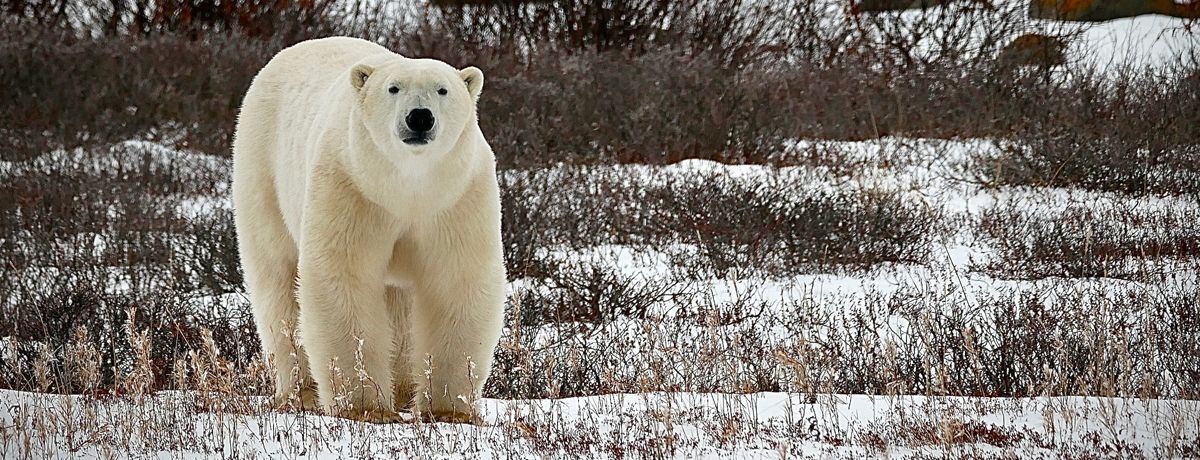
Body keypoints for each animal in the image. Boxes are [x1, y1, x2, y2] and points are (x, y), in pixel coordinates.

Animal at [230, 36, 506, 425]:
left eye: (443, 89)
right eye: (393, 88)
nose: (419, 117)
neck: (407, 188)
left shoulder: (456, 198)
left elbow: (456, 280)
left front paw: (450, 410)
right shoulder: (351, 186)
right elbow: (344, 278)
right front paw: (365, 406)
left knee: (398, 302)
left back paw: (403, 389)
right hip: (262, 169)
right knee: (277, 281)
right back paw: (301, 392)